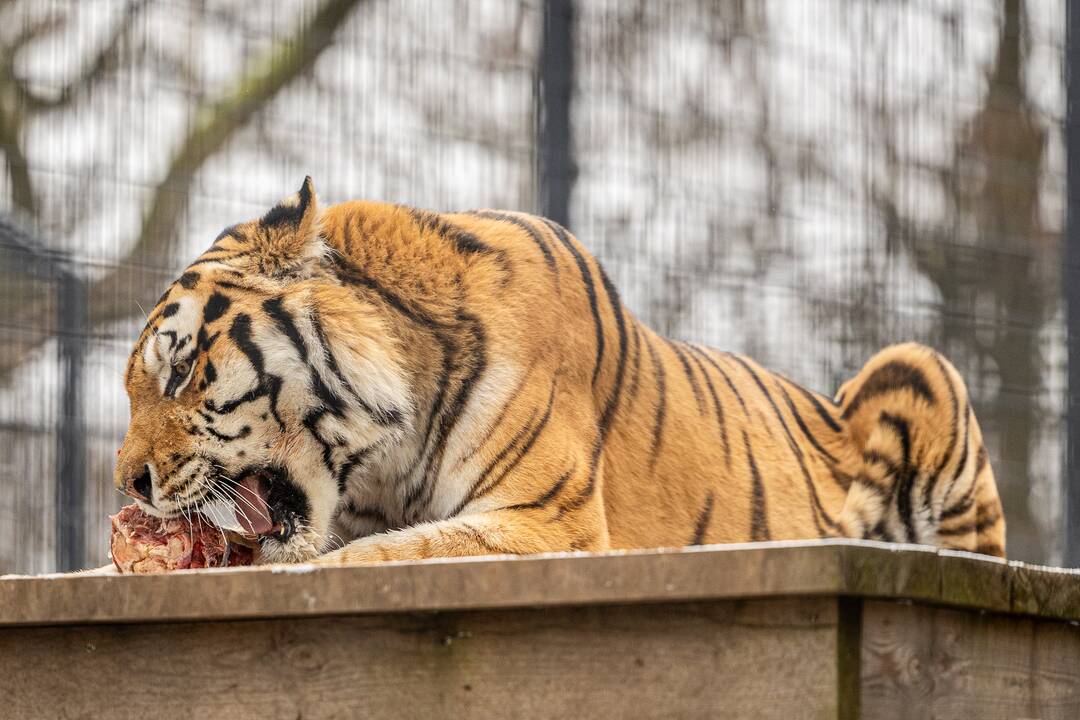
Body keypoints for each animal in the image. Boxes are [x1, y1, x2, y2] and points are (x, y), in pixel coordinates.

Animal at [113, 177, 1006, 565]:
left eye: (181, 370)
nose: (130, 484)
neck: (381, 463)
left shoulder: (547, 522)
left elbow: (369, 559)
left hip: (920, 368)